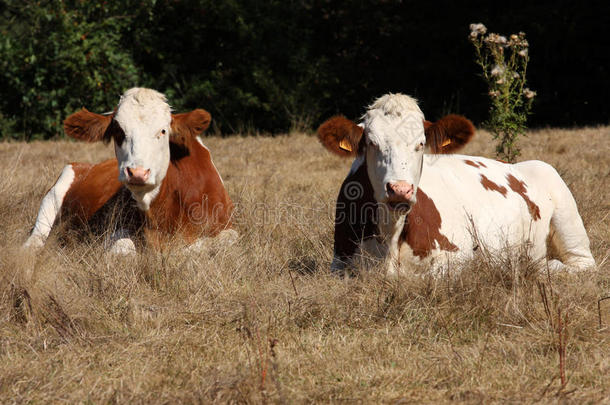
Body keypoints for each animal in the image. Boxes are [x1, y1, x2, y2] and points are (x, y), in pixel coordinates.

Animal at [23, 87, 234, 252]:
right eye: (118, 131)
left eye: (163, 131)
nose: (137, 173)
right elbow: (123, 247)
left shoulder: (228, 228)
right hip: (55, 191)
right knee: (35, 239)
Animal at [318, 92, 592, 274]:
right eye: (372, 143)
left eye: (420, 144)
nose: (400, 190)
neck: (390, 236)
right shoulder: (338, 264)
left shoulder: (459, 256)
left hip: (567, 214)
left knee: (581, 263)